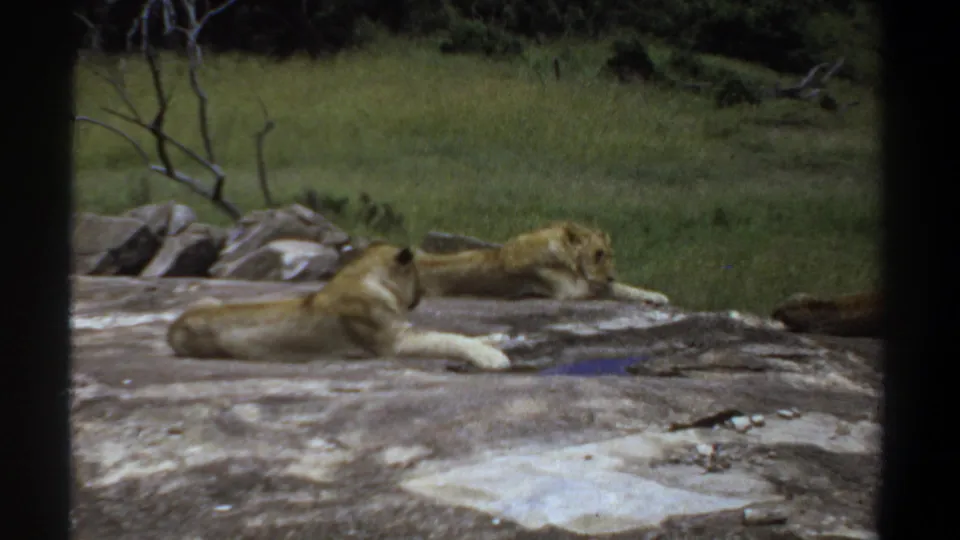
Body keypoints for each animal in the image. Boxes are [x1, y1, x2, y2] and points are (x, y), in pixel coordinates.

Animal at [166, 242, 512, 370]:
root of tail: (172, 328)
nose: (424, 293)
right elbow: (448, 338)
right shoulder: (395, 342)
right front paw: (492, 357)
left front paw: (496, 339)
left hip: (210, 298)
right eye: (417, 272)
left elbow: (454, 333)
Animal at [414, 221, 670, 305]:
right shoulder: (569, 291)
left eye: (609, 254)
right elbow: (612, 289)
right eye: (597, 254)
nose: (611, 275)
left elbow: (624, 288)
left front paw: (657, 296)